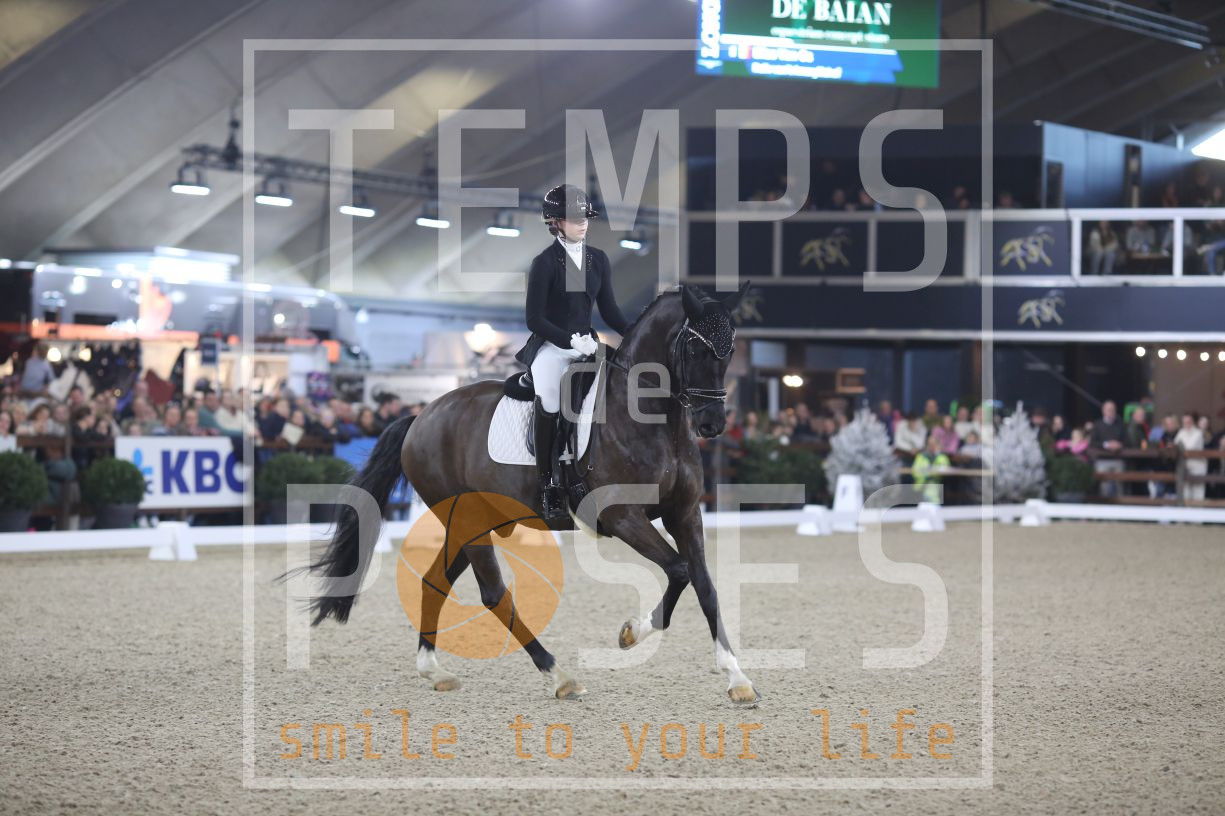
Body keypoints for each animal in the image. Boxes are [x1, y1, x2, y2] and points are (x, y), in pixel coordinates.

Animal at [302, 281, 758, 704]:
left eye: (730, 350)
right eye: (696, 349)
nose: (713, 423)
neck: (652, 421)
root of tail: (420, 417)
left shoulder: (685, 512)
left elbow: (704, 584)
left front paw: (737, 678)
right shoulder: (622, 516)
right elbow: (679, 570)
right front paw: (630, 633)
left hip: (469, 523)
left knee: (435, 582)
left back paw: (434, 670)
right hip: (467, 521)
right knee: (493, 594)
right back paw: (559, 676)